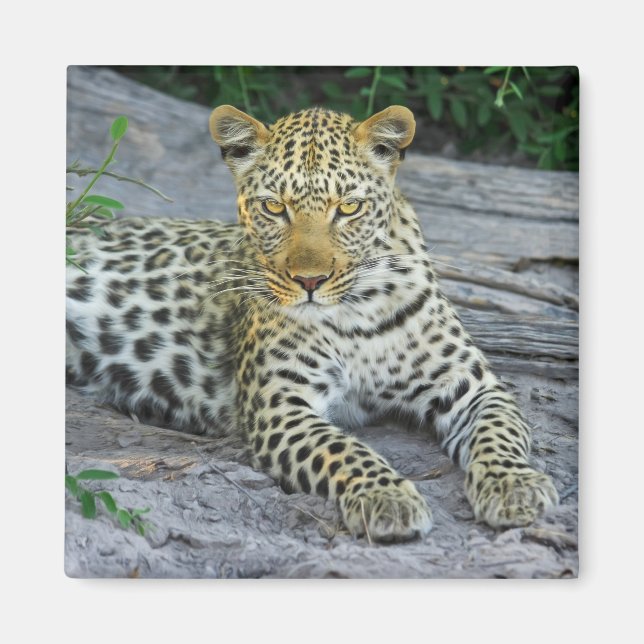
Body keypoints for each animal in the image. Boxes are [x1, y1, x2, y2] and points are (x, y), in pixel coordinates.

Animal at [66, 103, 559, 542]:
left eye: (349, 208)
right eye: (273, 207)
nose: (309, 281)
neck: (359, 311)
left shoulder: (472, 386)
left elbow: (499, 433)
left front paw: (515, 485)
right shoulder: (280, 405)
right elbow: (342, 449)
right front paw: (387, 497)